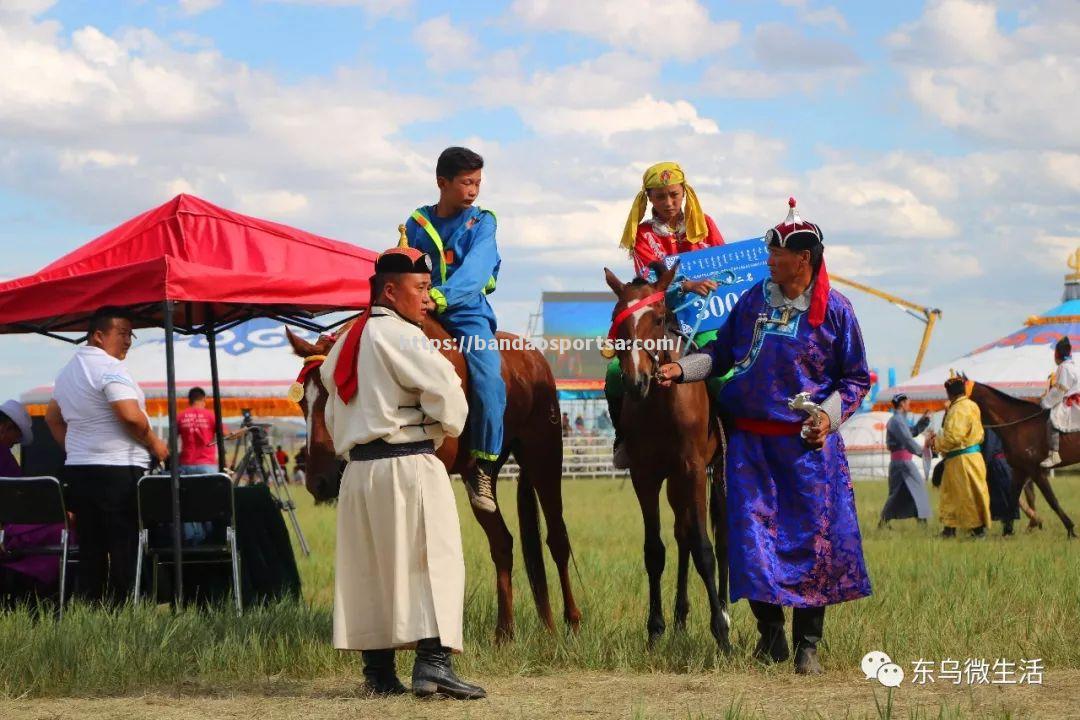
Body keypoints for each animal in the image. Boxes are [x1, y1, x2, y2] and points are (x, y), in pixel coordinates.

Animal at [282, 317, 578, 639]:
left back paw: (571, 622)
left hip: (544, 457)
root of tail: (533, 359)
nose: (318, 482)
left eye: (333, 393)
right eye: (302, 403)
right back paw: (505, 632)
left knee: (557, 538)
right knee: (502, 543)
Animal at [604, 264, 730, 651]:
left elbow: (704, 548)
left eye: (659, 318)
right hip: (674, 481)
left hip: (717, 472)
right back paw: (679, 619)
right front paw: (655, 629)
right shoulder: (645, 475)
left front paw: (721, 633)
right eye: (617, 319)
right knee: (682, 533)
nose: (636, 381)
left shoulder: (693, 470)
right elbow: (655, 551)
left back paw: (724, 610)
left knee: (721, 538)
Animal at [967, 379, 1075, 537]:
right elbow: (1013, 498)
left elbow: (1051, 500)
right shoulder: (1020, 470)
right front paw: (1007, 531)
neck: (1018, 423)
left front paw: (1070, 528)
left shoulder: (1035, 470)